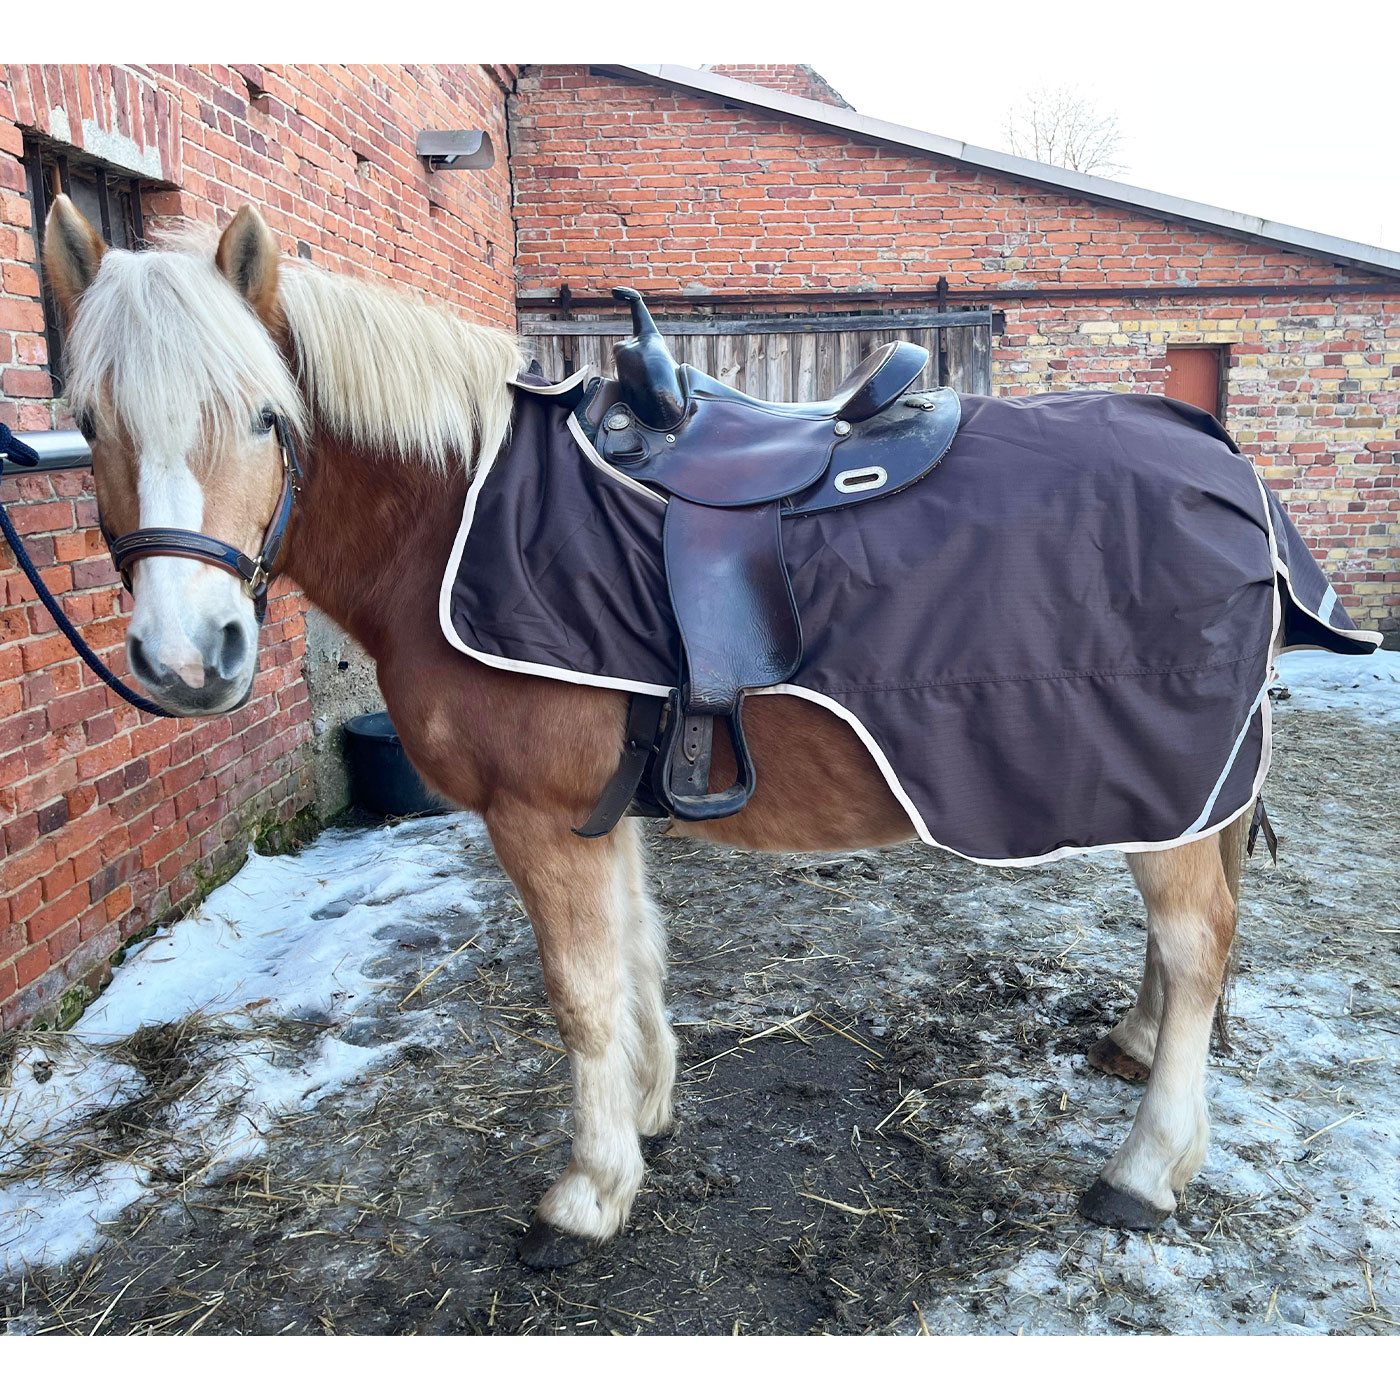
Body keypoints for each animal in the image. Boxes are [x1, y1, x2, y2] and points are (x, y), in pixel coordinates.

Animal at [40, 193, 1262, 1268]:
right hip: (1179, 797)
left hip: (1164, 785)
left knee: (1198, 941)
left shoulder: (537, 817)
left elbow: (579, 996)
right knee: (1187, 942)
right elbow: (634, 956)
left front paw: (587, 1192)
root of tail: (1221, 459)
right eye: (88, 424)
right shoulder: (599, 811)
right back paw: (1138, 1052)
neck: (454, 522)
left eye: (265, 415)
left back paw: (1143, 1169)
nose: (188, 656)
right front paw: (648, 1112)